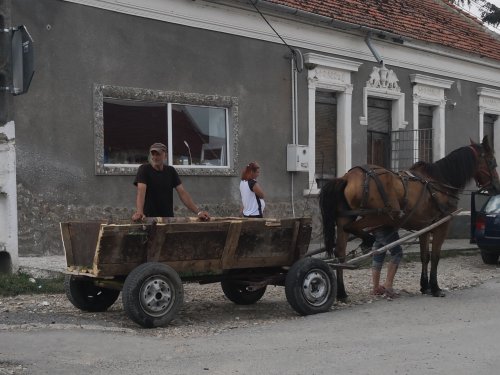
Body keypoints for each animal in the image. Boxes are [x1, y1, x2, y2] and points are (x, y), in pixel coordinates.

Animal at [320, 137, 500, 302]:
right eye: (492, 162)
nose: (497, 187)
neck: (439, 182)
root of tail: (348, 177)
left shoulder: (425, 227)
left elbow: (424, 256)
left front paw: (424, 286)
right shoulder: (441, 225)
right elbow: (435, 256)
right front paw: (435, 287)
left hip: (346, 217)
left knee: (340, 253)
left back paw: (342, 292)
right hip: (380, 215)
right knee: (353, 229)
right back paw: (367, 242)